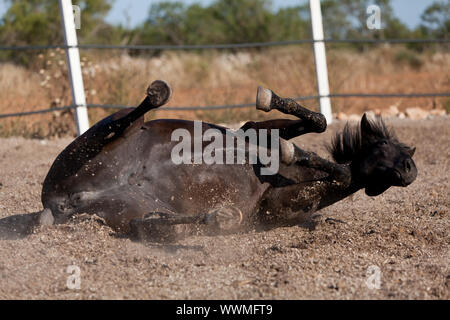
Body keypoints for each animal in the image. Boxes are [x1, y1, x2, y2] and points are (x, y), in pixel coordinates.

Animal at [0, 80, 416, 240]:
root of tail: (61, 203)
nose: (410, 170)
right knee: (130, 116)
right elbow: (316, 121)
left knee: (152, 223)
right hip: (104, 140)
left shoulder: (277, 206)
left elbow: (341, 173)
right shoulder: (253, 131)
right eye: (387, 143)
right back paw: (157, 94)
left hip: (127, 212)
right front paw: (275, 112)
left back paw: (221, 216)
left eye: (407, 152)